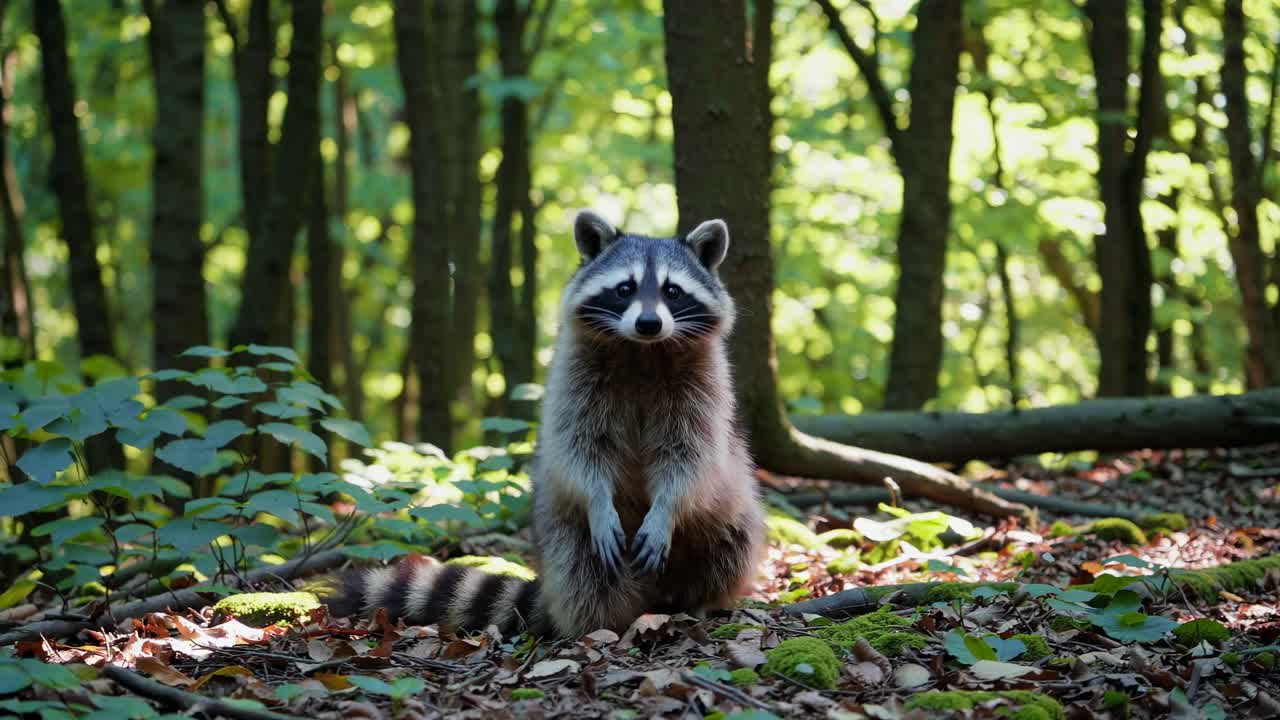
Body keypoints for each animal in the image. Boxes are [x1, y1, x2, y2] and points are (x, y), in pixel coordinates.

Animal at [325, 210, 766, 639]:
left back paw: (698, 599)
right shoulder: (573, 379)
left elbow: (690, 458)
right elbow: (579, 450)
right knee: (582, 568)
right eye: (625, 288)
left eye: (672, 291)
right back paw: (599, 623)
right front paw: (598, 499)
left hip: (725, 506)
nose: (648, 323)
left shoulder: (705, 388)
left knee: (732, 542)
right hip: (560, 526)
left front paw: (666, 508)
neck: (642, 351)